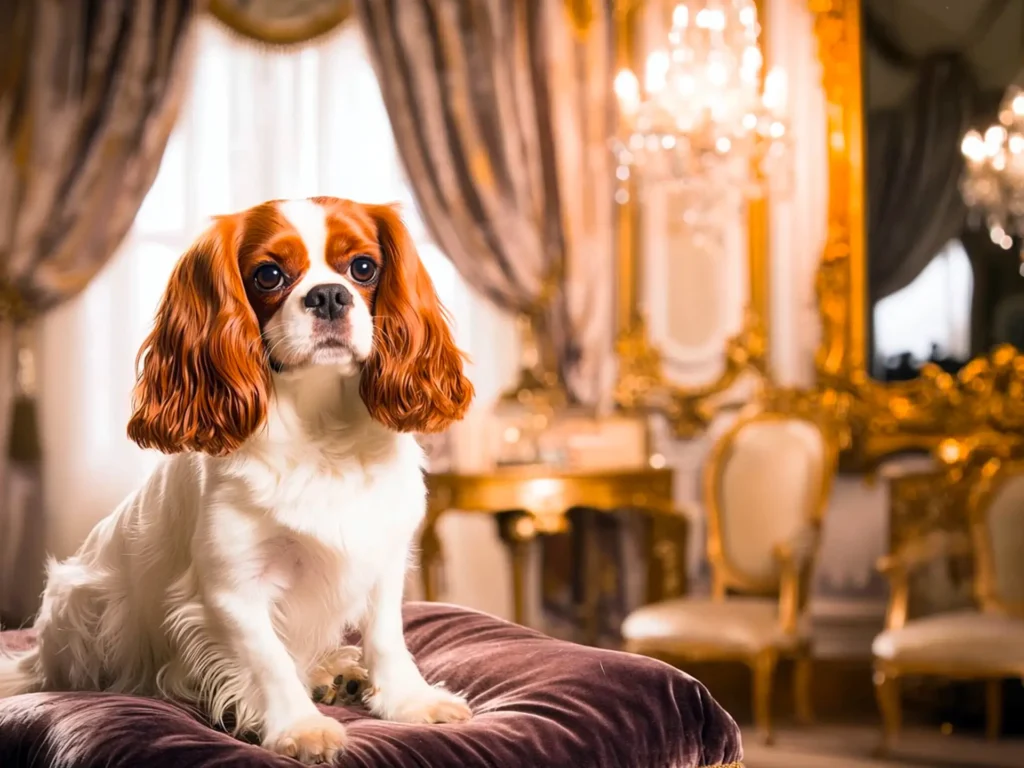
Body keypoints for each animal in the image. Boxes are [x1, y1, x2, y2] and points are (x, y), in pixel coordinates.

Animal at [0, 196, 475, 765]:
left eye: (362, 267)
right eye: (268, 275)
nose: (329, 295)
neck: (320, 426)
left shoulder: (382, 557)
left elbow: (386, 636)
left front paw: (409, 700)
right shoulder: (232, 586)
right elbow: (267, 658)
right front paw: (299, 727)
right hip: (85, 604)